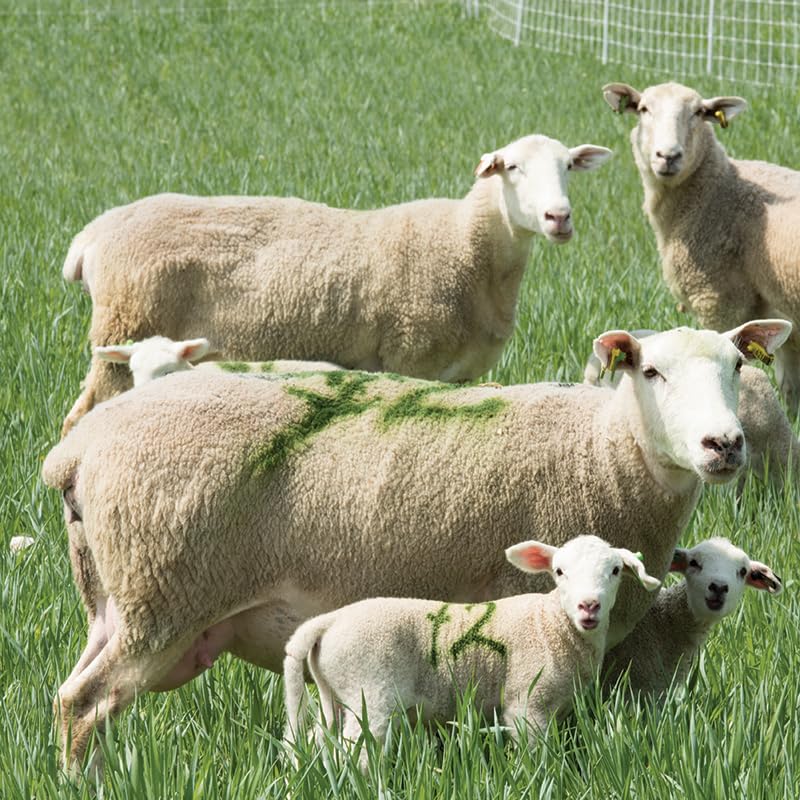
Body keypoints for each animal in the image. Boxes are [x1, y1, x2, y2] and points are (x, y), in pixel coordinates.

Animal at [58, 134, 613, 435]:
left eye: (568, 166)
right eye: (512, 167)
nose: (559, 218)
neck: (468, 244)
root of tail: (94, 234)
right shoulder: (411, 359)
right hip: (122, 335)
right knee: (78, 421)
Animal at [284, 535, 660, 761]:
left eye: (615, 570)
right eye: (559, 571)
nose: (588, 606)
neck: (551, 623)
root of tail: (329, 621)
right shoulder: (528, 703)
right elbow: (536, 755)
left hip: (336, 692)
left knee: (320, 740)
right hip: (369, 691)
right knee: (355, 752)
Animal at [602, 80, 800, 413]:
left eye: (697, 112)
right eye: (643, 109)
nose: (668, 156)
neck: (716, 187)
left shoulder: (719, 298)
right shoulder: (779, 311)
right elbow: (790, 391)